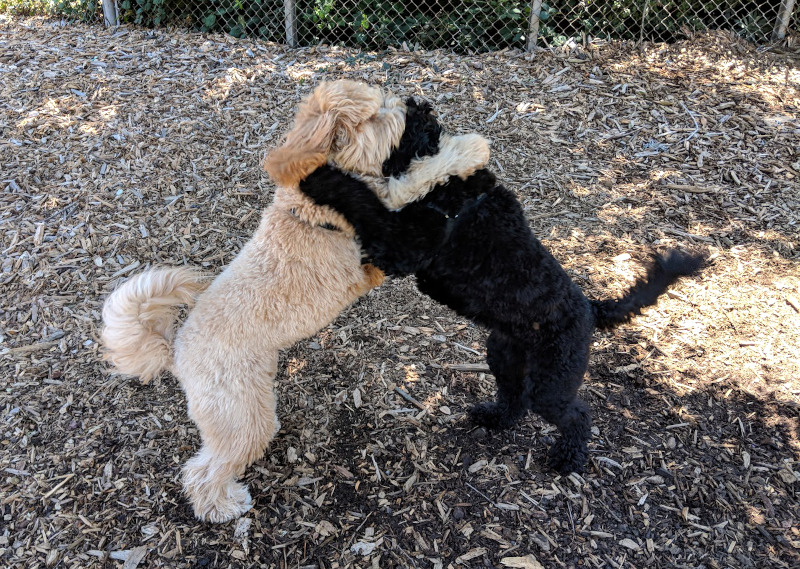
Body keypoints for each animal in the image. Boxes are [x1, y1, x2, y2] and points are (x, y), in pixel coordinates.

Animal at [100, 81, 488, 524]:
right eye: (375, 115)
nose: (420, 106)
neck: (310, 201)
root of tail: (176, 353)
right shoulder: (385, 209)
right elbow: (419, 175)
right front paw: (469, 149)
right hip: (242, 417)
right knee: (204, 471)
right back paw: (223, 505)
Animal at [302, 100, 708, 472]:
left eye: (384, 120)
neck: (445, 176)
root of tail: (590, 309)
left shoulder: (404, 246)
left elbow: (362, 200)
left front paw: (318, 177)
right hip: (503, 355)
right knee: (515, 400)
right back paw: (494, 418)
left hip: (551, 382)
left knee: (577, 415)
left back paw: (568, 458)